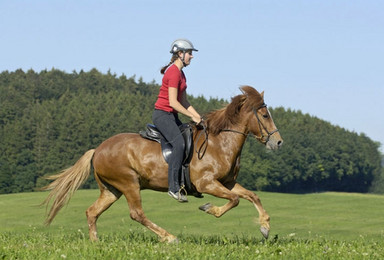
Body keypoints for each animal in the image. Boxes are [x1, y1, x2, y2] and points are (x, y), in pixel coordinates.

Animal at [41, 86, 282, 243]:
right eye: (264, 115)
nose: (278, 142)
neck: (219, 142)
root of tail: (98, 150)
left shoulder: (228, 183)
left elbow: (252, 196)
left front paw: (265, 227)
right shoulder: (207, 184)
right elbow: (234, 200)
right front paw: (209, 208)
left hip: (111, 190)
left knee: (92, 212)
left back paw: (95, 243)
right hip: (129, 183)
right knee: (136, 214)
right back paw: (170, 237)